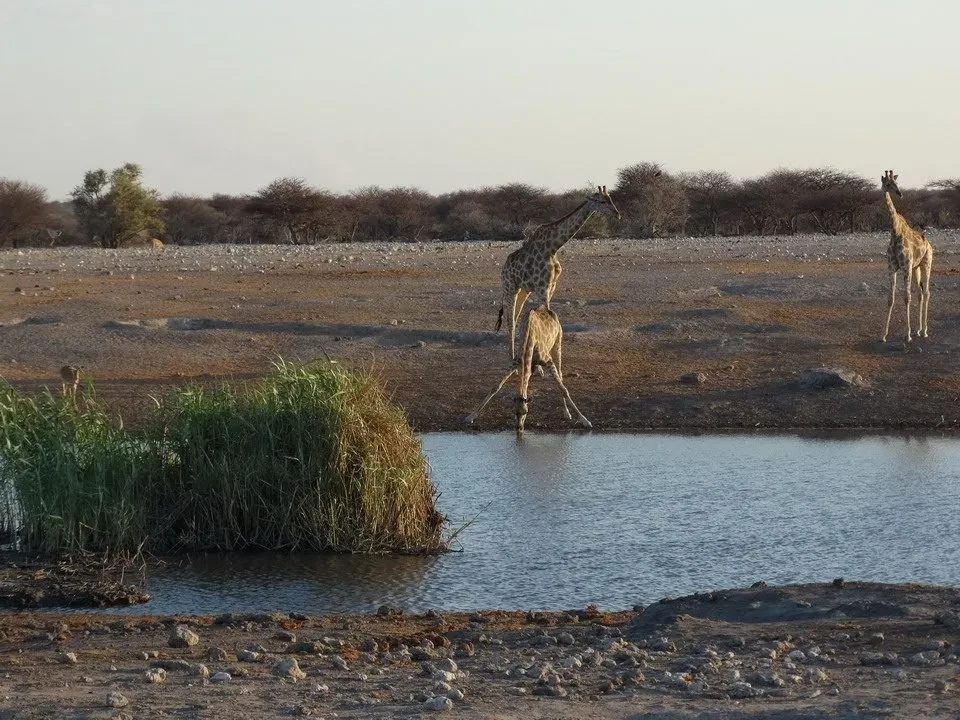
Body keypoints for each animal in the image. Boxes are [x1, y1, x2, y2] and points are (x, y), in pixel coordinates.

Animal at [467, 305, 591, 435]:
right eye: (514, 411)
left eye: (526, 412)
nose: (519, 428)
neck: (529, 341)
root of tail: (546, 309)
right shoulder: (516, 363)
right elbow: (495, 387)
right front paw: (471, 416)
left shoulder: (548, 360)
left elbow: (563, 389)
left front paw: (584, 420)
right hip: (534, 363)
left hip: (557, 345)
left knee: (561, 375)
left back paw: (567, 412)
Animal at [495, 185, 623, 362]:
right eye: (602, 201)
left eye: (611, 199)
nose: (617, 214)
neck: (553, 247)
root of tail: (504, 268)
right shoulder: (542, 287)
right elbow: (546, 315)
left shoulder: (551, 286)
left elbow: (548, 315)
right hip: (510, 287)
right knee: (509, 318)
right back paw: (511, 356)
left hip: (523, 290)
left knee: (514, 317)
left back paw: (517, 354)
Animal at [879, 170, 933, 344]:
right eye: (887, 184)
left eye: (896, 183)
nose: (900, 193)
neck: (895, 232)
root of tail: (929, 244)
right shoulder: (892, 268)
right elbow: (890, 298)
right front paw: (883, 335)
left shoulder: (905, 267)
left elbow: (906, 297)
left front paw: (907, 334)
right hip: (916, 268)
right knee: (920, 294)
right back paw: (919, 330)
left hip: (926, 263)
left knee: (926, 292)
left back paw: (925, 331)